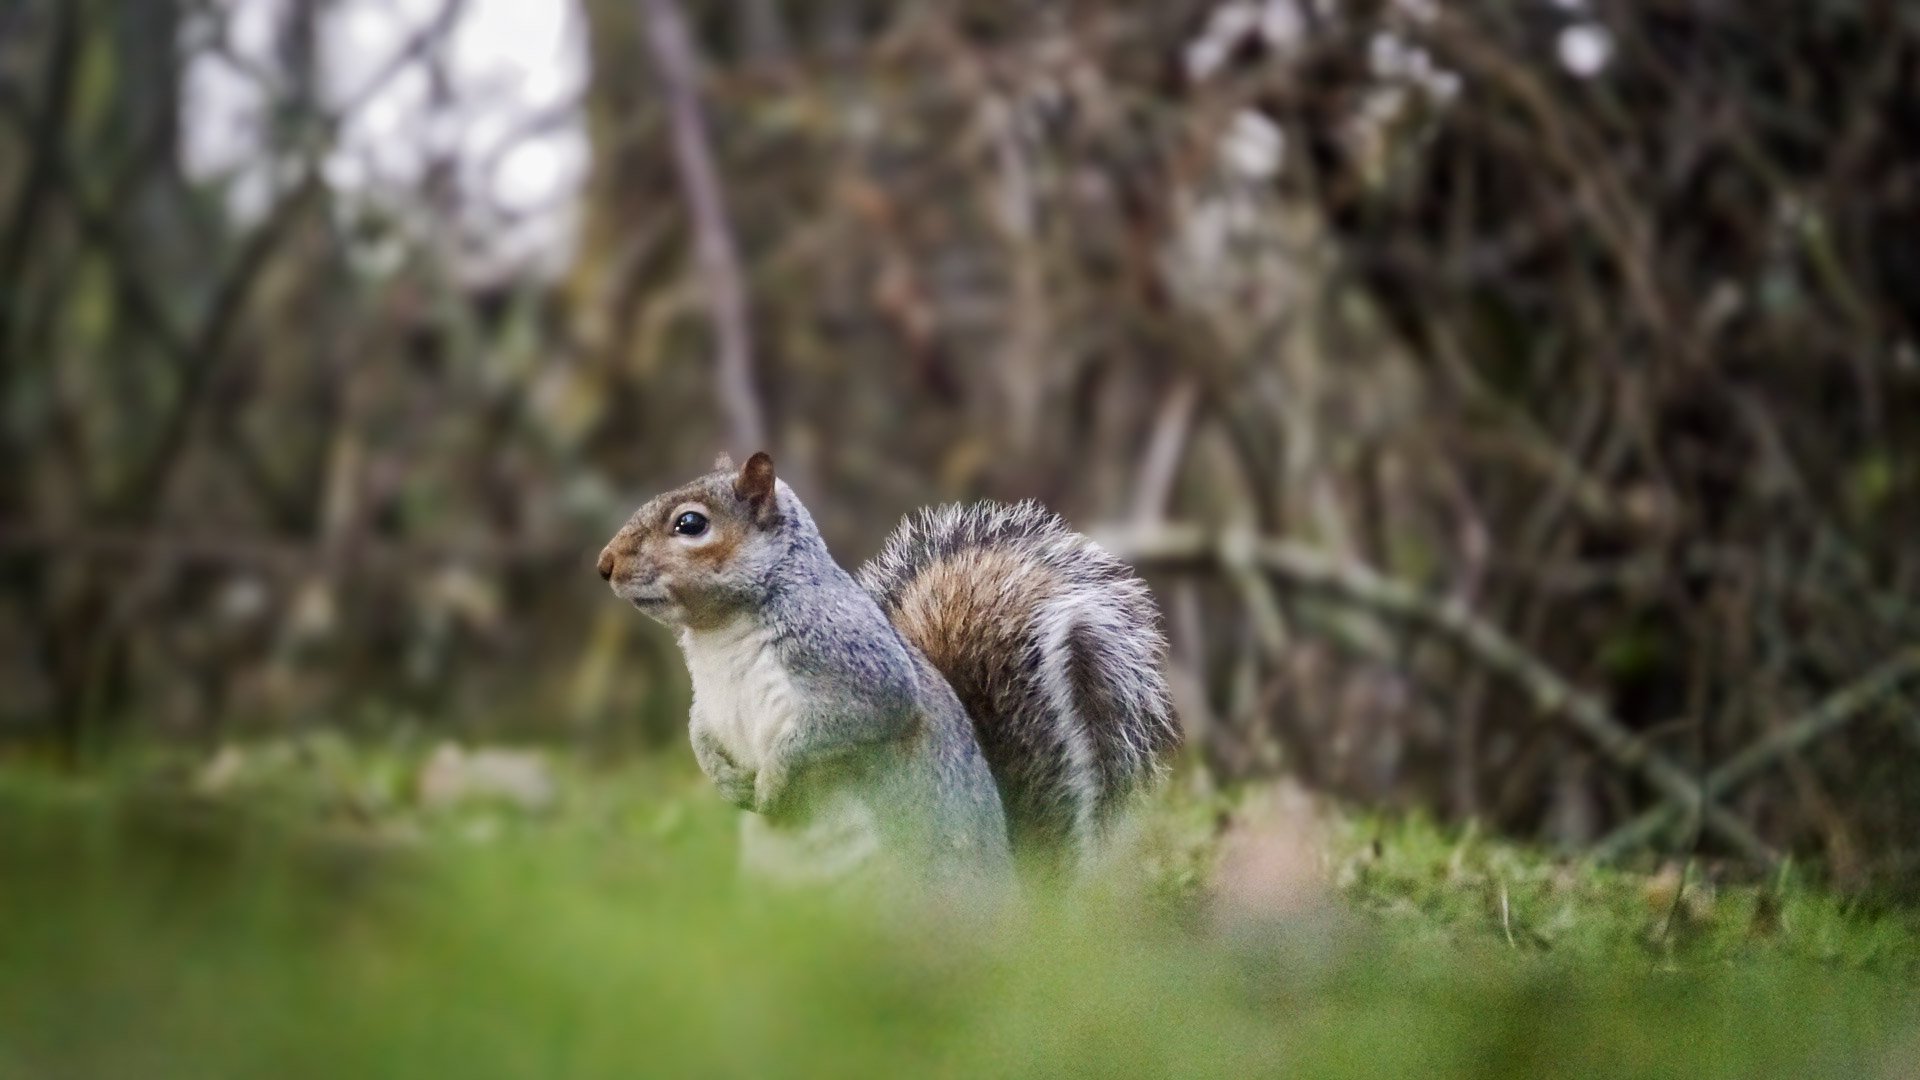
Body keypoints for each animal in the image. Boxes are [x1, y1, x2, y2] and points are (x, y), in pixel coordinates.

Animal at [597, 451, 1180, 893]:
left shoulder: (858, 668)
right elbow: (698, 731)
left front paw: (773, 782)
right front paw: (722, 778)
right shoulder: (710, 699)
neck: (718, 633)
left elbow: (839, 725)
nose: (604, 564)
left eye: (690, 524)